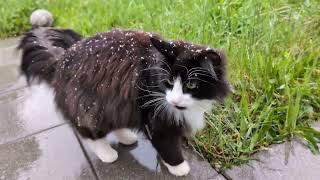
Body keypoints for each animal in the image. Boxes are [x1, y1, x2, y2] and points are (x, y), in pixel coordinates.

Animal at [18, 9, 230, 176]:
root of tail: (61, 60)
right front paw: (178, 167)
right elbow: (168, 146)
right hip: (89, 106)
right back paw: (107, 154)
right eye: (169, 82)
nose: (175, 100)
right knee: (89, 133)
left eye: (191, 85)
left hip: (114, 103)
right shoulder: (155, 118)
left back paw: (127, 138)